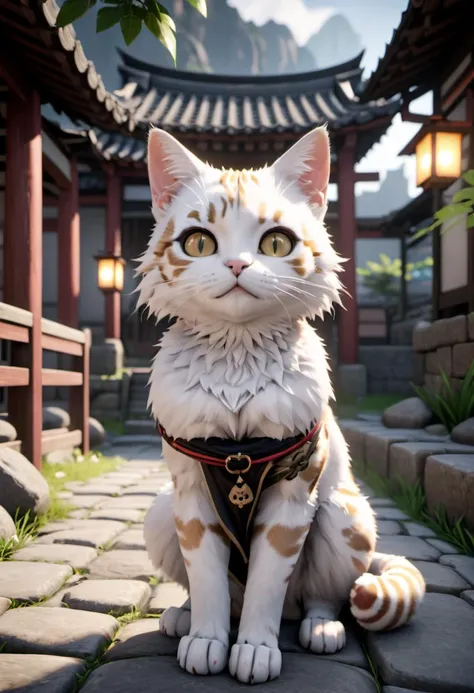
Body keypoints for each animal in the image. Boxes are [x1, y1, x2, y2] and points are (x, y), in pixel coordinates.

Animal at [138, 127, 426, 684]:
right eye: (199, 242)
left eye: (275, 242)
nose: (237, 264)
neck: (235, 355)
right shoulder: (190, 496)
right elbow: (207, 580)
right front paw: (206, 641)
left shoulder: (294, 497)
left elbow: (267, 587)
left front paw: (253, 651)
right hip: (160, 510)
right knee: (221, 592)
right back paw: (181, 617)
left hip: (344, 512)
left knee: (318, 597)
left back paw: (321, 629)